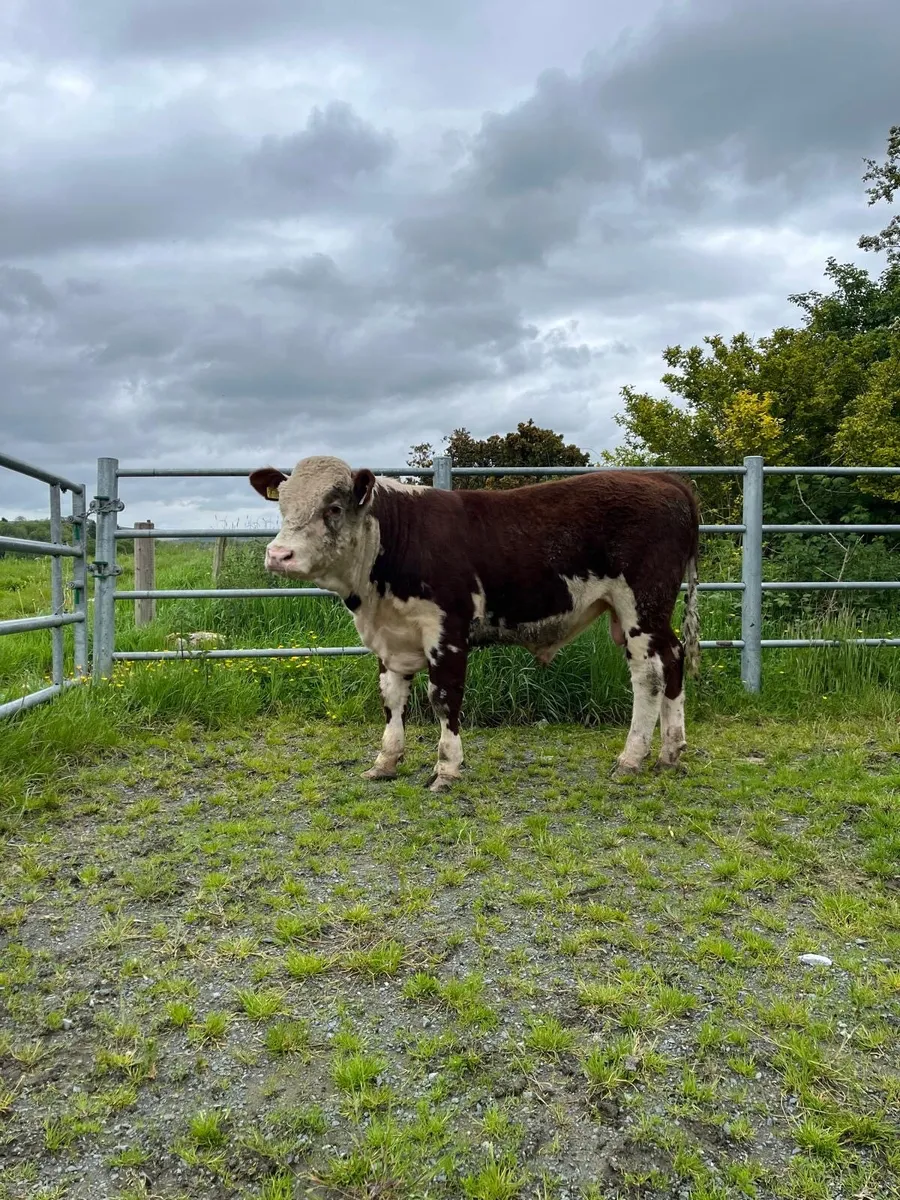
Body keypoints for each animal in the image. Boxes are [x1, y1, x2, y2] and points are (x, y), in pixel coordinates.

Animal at [249, 456, 701, 791]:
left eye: (334, 507)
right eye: (282, 505)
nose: (279, 555)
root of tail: (664, 479)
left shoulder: (447, 631)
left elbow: (443, 697)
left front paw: (446, 769)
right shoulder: (391, 639)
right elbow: (392, 700)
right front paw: (385, 762)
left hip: (642, 607)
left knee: (649, 676)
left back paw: (631, 758)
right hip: (646, 616)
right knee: (674, 659)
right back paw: (670, 754)